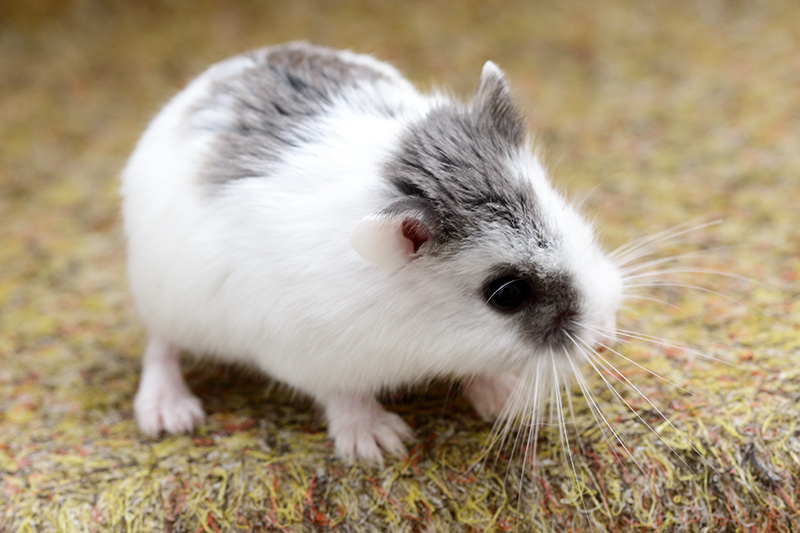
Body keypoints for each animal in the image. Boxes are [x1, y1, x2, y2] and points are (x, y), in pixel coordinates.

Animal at [121, 42, 623, 464]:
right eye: (507, 294)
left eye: (569, 216)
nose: (604, 335)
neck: (421, 326)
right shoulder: (309, 356)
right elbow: (345, 396)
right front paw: (382, 444)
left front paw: (508, 399)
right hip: (166, 301)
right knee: (160, 349)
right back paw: (170, 416)